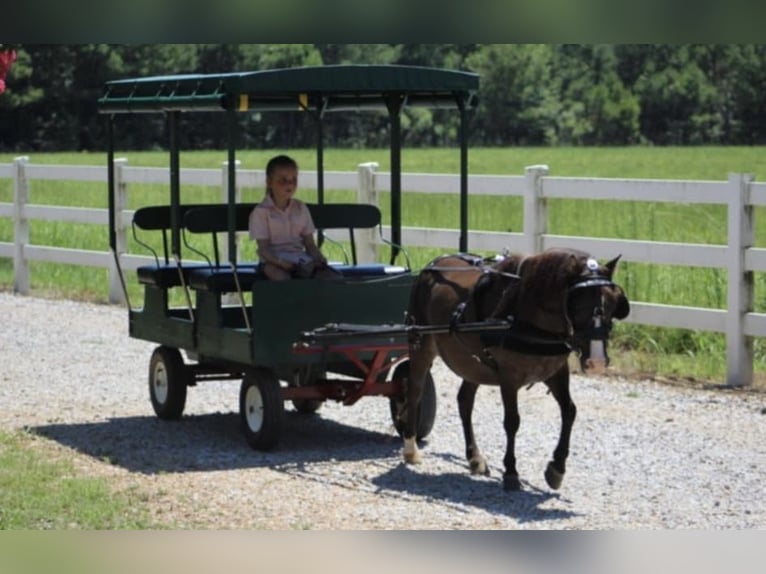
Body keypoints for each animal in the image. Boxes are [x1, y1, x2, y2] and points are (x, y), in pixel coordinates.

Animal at [402, 250, 632, 492]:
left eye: (613, 304)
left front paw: (557, 468)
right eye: (578, 306)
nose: (597, 362)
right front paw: (511, 471)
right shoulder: (509, 377)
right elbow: (512, 422)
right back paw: (410, 448)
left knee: (464, 402)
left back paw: (474, 457)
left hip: (473, 365)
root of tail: (434, 263)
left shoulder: (557, 372)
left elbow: (569, 411)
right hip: (421, 345)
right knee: (415, 392)